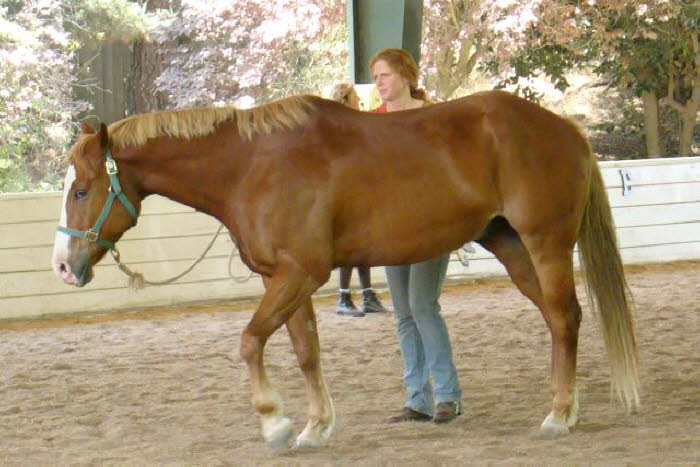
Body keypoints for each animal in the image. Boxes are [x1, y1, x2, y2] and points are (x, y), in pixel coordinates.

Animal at [50, 90, 640, 450]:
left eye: (81, 190)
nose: (61, 266)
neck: (251, 167)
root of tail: (565, 128)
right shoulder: (282, 278)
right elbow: (306, 351)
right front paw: (316, 426)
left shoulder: (299, 273)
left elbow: (250, 342)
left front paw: (275, 422)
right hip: (511, 247)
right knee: (563, 320)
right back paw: (568, 406)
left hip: (546, 243)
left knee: (563, 318)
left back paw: (558, 415)